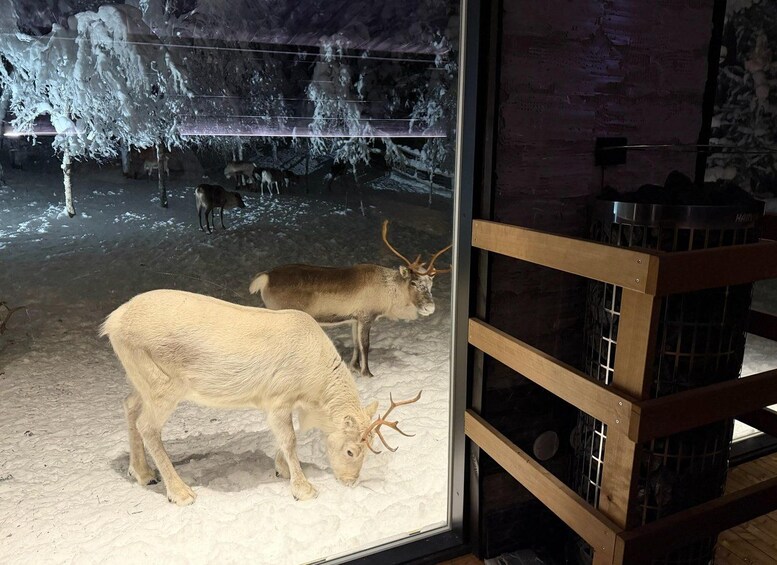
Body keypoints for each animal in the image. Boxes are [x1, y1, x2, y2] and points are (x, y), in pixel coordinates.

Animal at [100, 289, 421, 505]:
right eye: (352, 451)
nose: (350, 482)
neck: (315, 388)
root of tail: (111, 323)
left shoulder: (283, 403)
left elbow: (288, 434)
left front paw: (281, 469)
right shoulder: (278, 396)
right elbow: (290, 438)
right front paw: (304, 489)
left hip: (139, 377)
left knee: (130, 407)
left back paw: (143, 473)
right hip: (163, 383)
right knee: (148, 426)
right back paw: (180, 493)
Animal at [249, 221, 452, 378]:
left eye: (431, 283)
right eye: (414, 282)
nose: (430, 308)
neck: (389, 291)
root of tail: (265, 277)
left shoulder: (354, 318)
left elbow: (355, 344)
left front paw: (354, 367)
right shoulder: (366, 316)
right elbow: (365, 345)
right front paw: (367, 373)